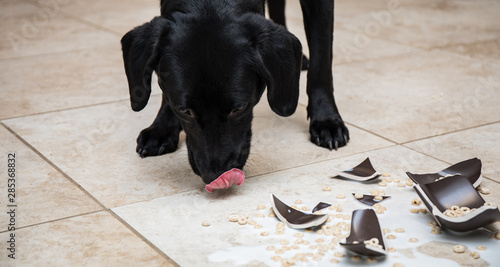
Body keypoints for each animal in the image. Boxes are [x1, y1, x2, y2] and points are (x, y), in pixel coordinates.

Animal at [120, 0, 348, 184]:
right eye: (185, 111)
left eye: (238, 108)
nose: (214, 175)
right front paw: (162, 128)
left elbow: (321, 61)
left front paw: (327, 120)